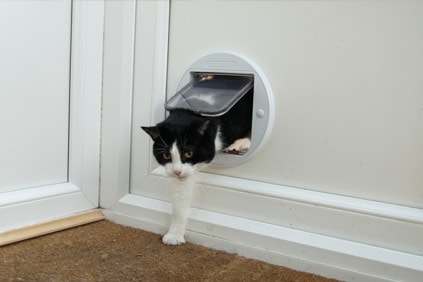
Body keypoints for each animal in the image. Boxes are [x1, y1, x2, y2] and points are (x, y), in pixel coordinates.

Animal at [142, 89, 253, 246]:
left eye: (188, 153)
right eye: (166, 156)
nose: (176, 172)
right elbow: (180, 200)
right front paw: (174, 234)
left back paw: (240, 143)